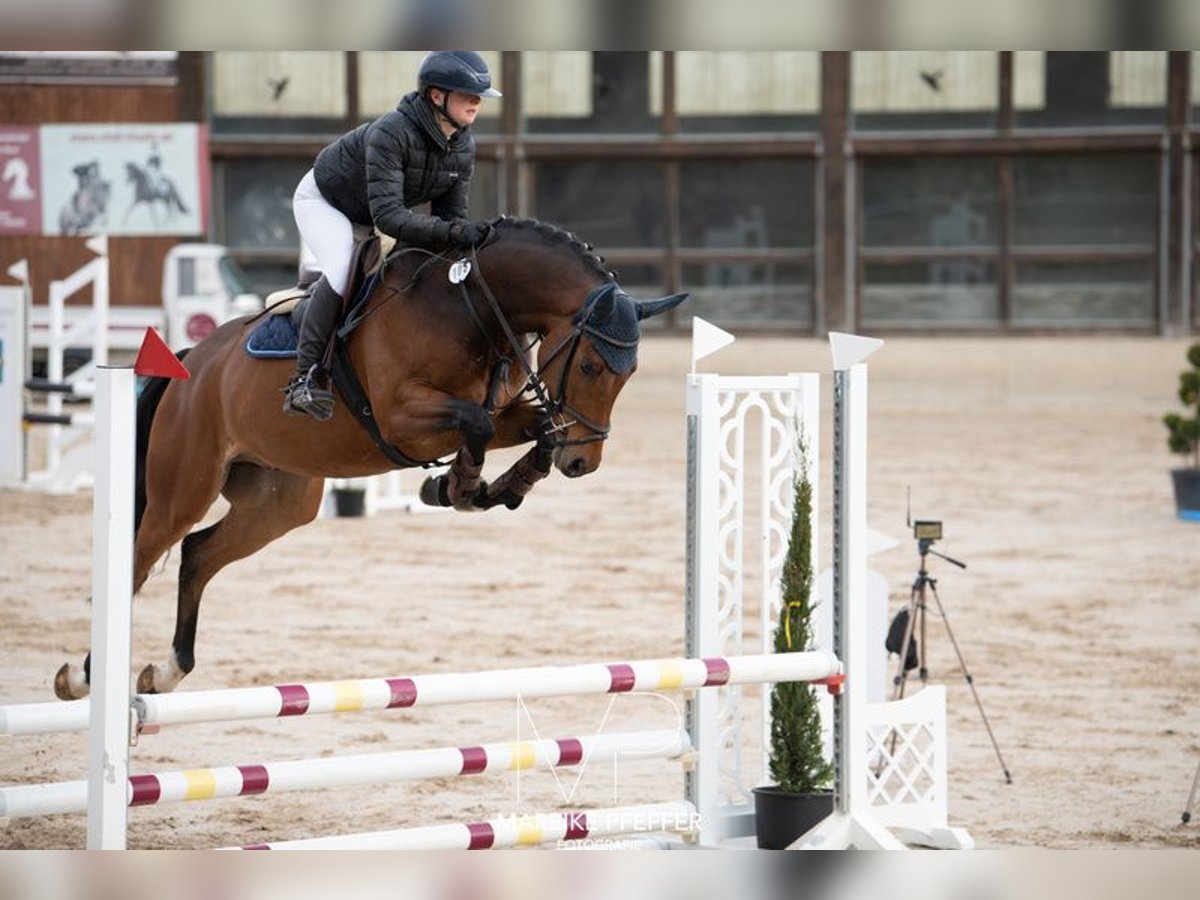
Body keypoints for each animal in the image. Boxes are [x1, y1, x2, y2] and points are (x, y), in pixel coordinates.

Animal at [54, 218, 686, 705]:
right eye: (590, 367)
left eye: (629, 372)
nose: (586, 462)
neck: (472, 305)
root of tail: (191, 361)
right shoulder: (402, 418)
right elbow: (477, 426)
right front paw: (459, 488)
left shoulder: (508, 412)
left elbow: (533, 432)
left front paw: (493, 488)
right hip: (184, 486)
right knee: (140, 560)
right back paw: (81, 678)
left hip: (277, 503)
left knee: (198, 553)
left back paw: (165, 671)